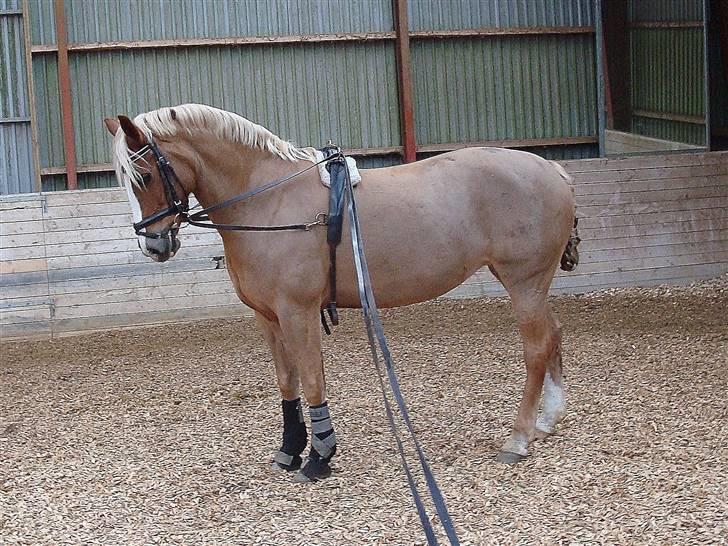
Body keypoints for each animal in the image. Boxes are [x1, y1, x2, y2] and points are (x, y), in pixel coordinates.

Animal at [104, 104, 580, 482]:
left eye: (144, 174)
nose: (154, 246)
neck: (268, 202)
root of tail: (550, 169)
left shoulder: (298, 311)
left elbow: (312, 378)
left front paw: (320, 456)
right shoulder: (268, 316)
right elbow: (288, 380)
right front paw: (289, 451)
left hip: (524, 282)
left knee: (537, 348)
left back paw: (519, 438)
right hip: (531, 285)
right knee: (554, 334)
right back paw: (547, 421)